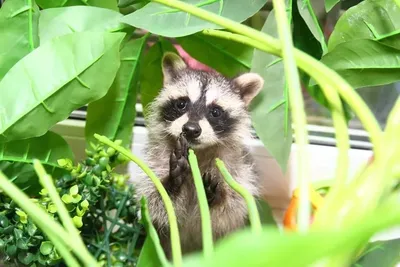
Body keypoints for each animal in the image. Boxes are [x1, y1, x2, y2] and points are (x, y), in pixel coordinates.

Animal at [136, 51, 264, 258]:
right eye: (181, 103)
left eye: (215, 111)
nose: (190, 129)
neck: (196, 152)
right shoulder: (156, 160)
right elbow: (154, 205)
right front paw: (172, 183)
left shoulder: (238, 170)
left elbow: (230, 213)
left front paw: (214, 196)